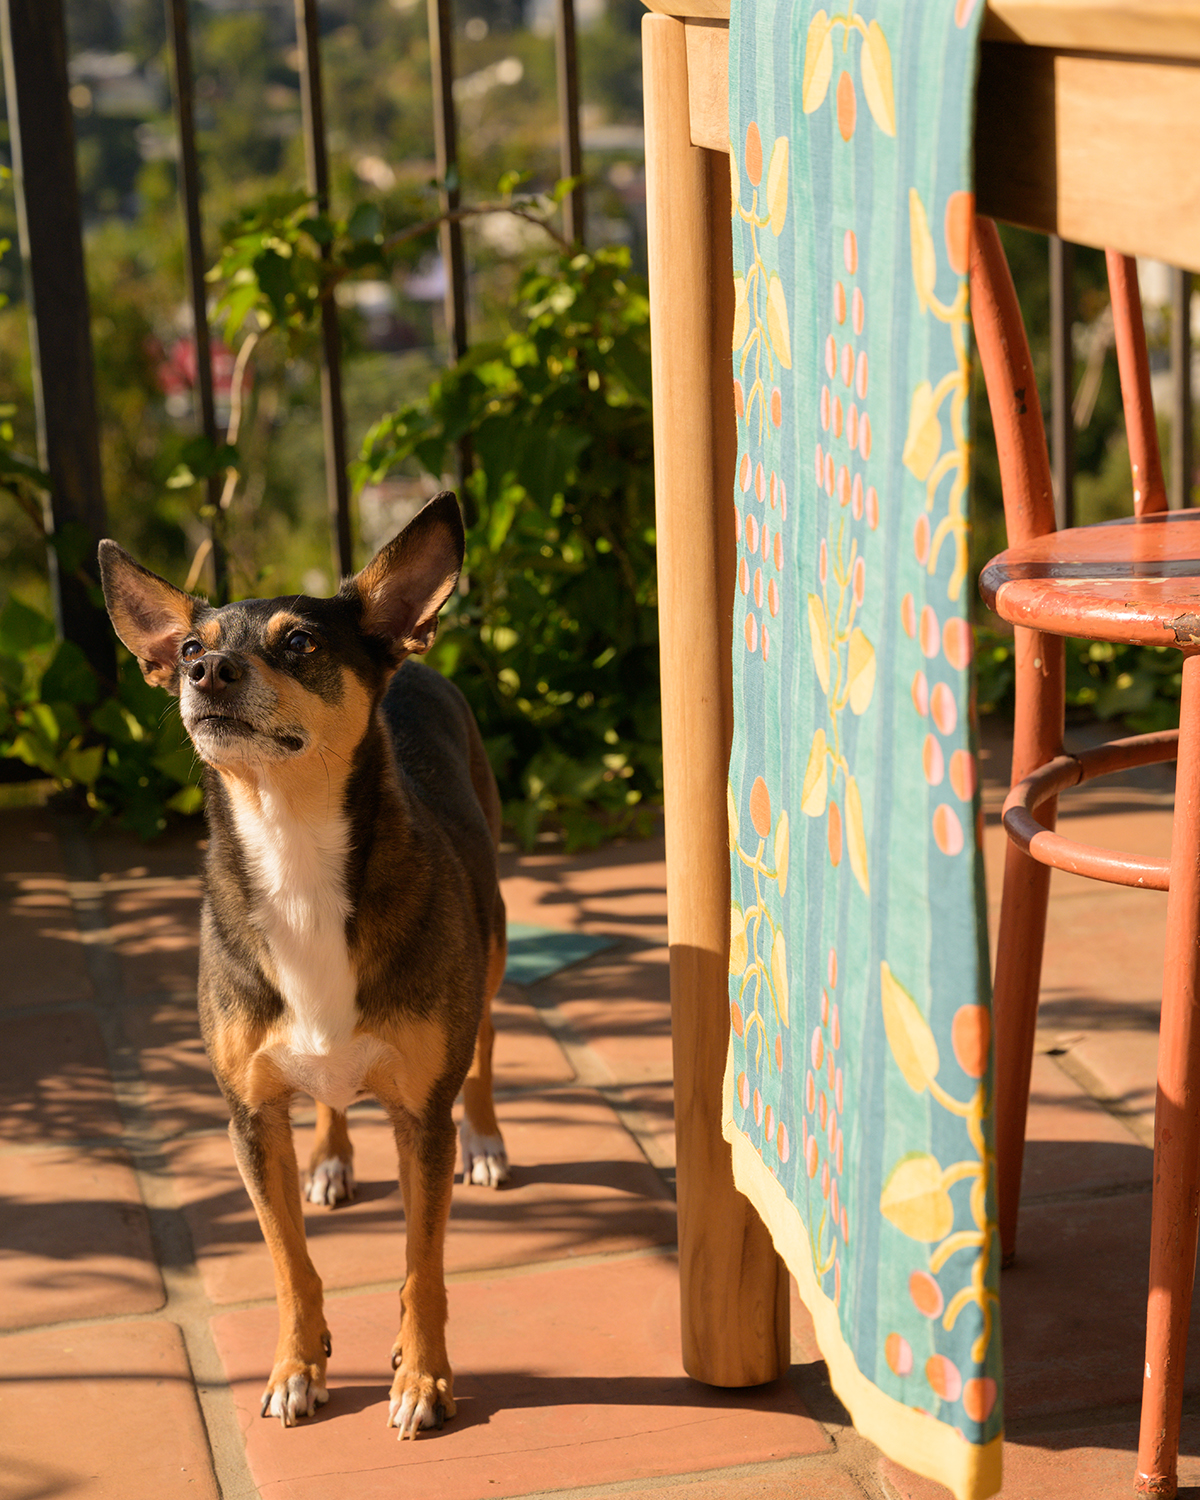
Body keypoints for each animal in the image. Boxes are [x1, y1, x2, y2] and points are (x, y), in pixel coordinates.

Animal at [96, 489, 504, 1428]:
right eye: (191, 650)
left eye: (301, 644)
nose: (207, 674)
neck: (293, 851)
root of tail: (412, 663)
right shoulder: (250, 1117)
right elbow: (289, 1262)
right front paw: (296, 1367)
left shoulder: (420, 1119)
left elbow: (422, 1266)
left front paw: (423, 1378)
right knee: (327, 1097)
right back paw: (329, 1159)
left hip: (495, 943)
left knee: (485, 1050)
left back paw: (487, 1140)